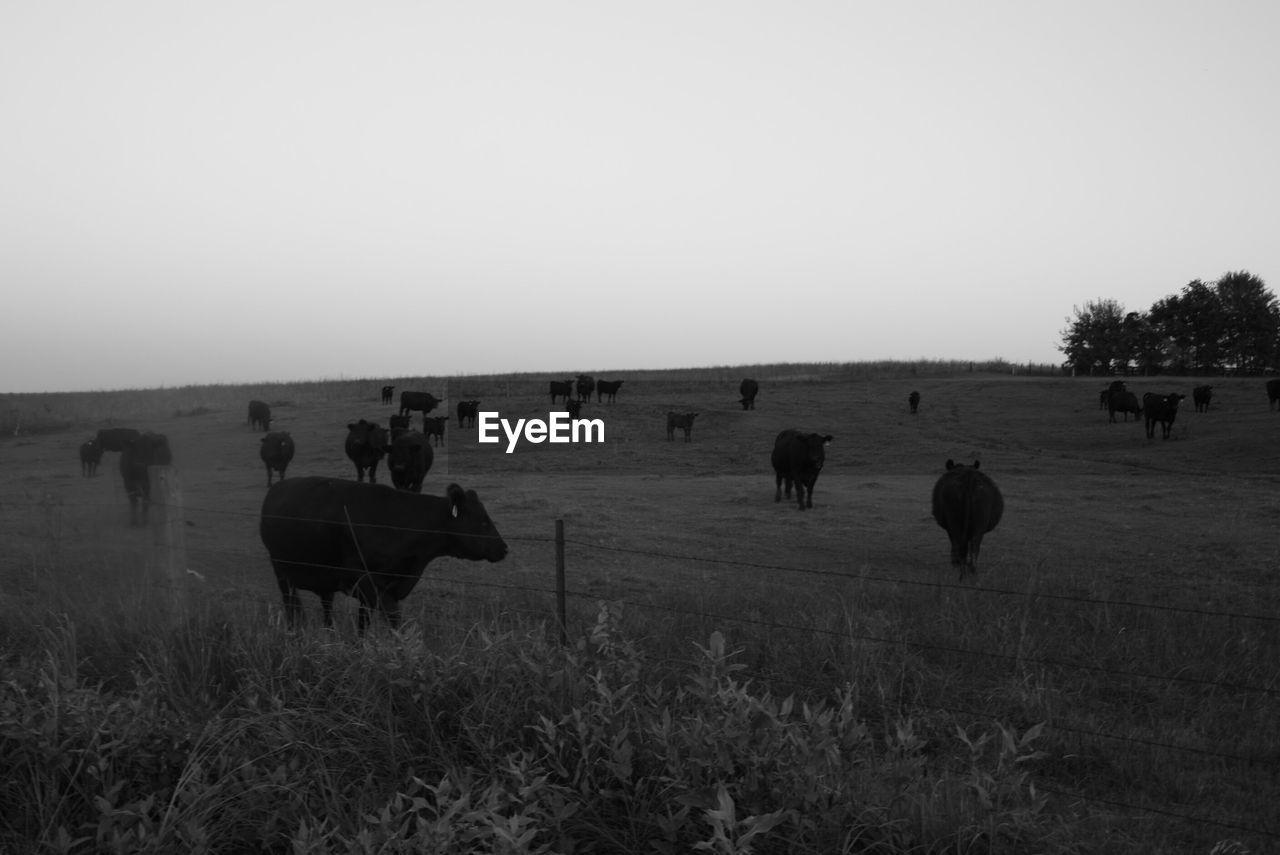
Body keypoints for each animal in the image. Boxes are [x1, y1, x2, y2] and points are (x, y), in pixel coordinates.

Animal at [259, 478, 509, 632]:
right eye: (483, 522)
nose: (504, 548)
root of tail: (277, 487)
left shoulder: (382, 589)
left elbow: (365, 624)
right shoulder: (367, 583)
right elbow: (394, 620)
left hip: (324, 578)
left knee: (326, 607)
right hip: (281, 572)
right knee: (291, 607)